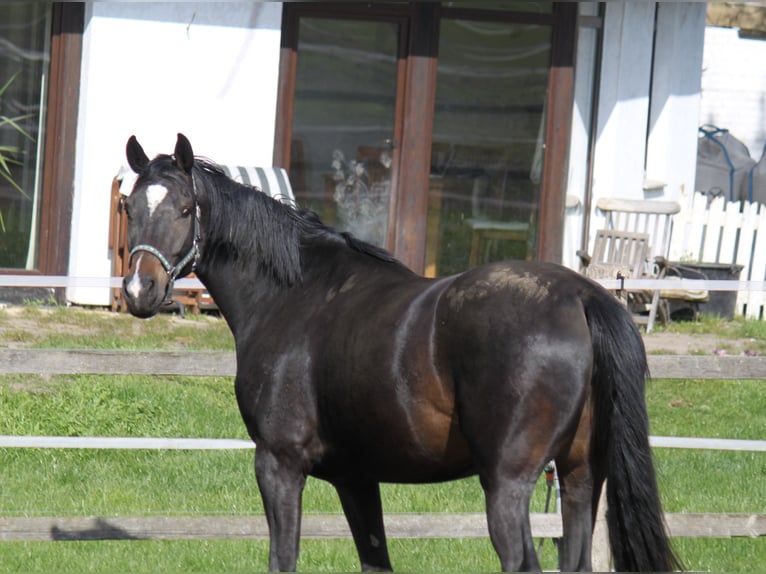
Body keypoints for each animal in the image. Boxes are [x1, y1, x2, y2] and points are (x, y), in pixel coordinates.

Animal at [121, 134, 684, 572]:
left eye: (185, 209)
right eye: (129, 207)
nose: (139, 290)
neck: (293, 294)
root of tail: (581, 296)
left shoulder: (279, 464)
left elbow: (283, 559)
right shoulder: (356, 477)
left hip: (508, 485)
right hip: (580, 479)